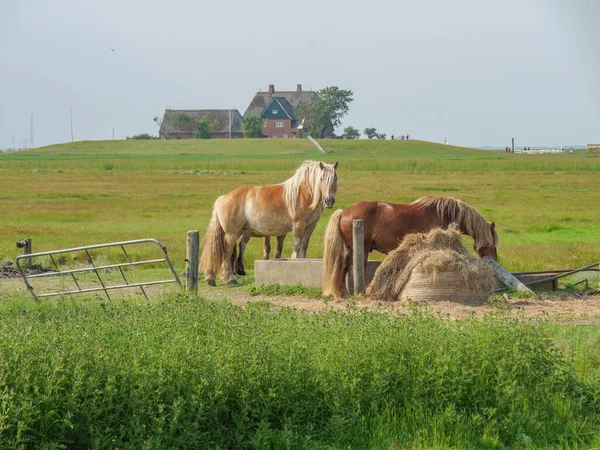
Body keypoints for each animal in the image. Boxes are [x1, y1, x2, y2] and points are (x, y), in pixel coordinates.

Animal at [200, 159, 338, 284]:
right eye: (321, 178)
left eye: (335, 178)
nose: (329, 201)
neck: (303, 193)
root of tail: (222, 198)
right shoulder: (298, 225)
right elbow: (297, 246)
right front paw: (295, 261)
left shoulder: (310, 226)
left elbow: (304, 246)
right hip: (232, 234)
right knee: (226, 253)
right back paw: (230, 279)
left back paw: (211, 278)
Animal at [322, 195, 500, 298]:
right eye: (492, 243)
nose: (495, 259)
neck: (445, 213)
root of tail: (344, 212)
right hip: (362, 249)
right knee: (359, 267)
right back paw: (366, 290)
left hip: (351, 249)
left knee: (344, 266)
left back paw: (342, 293)